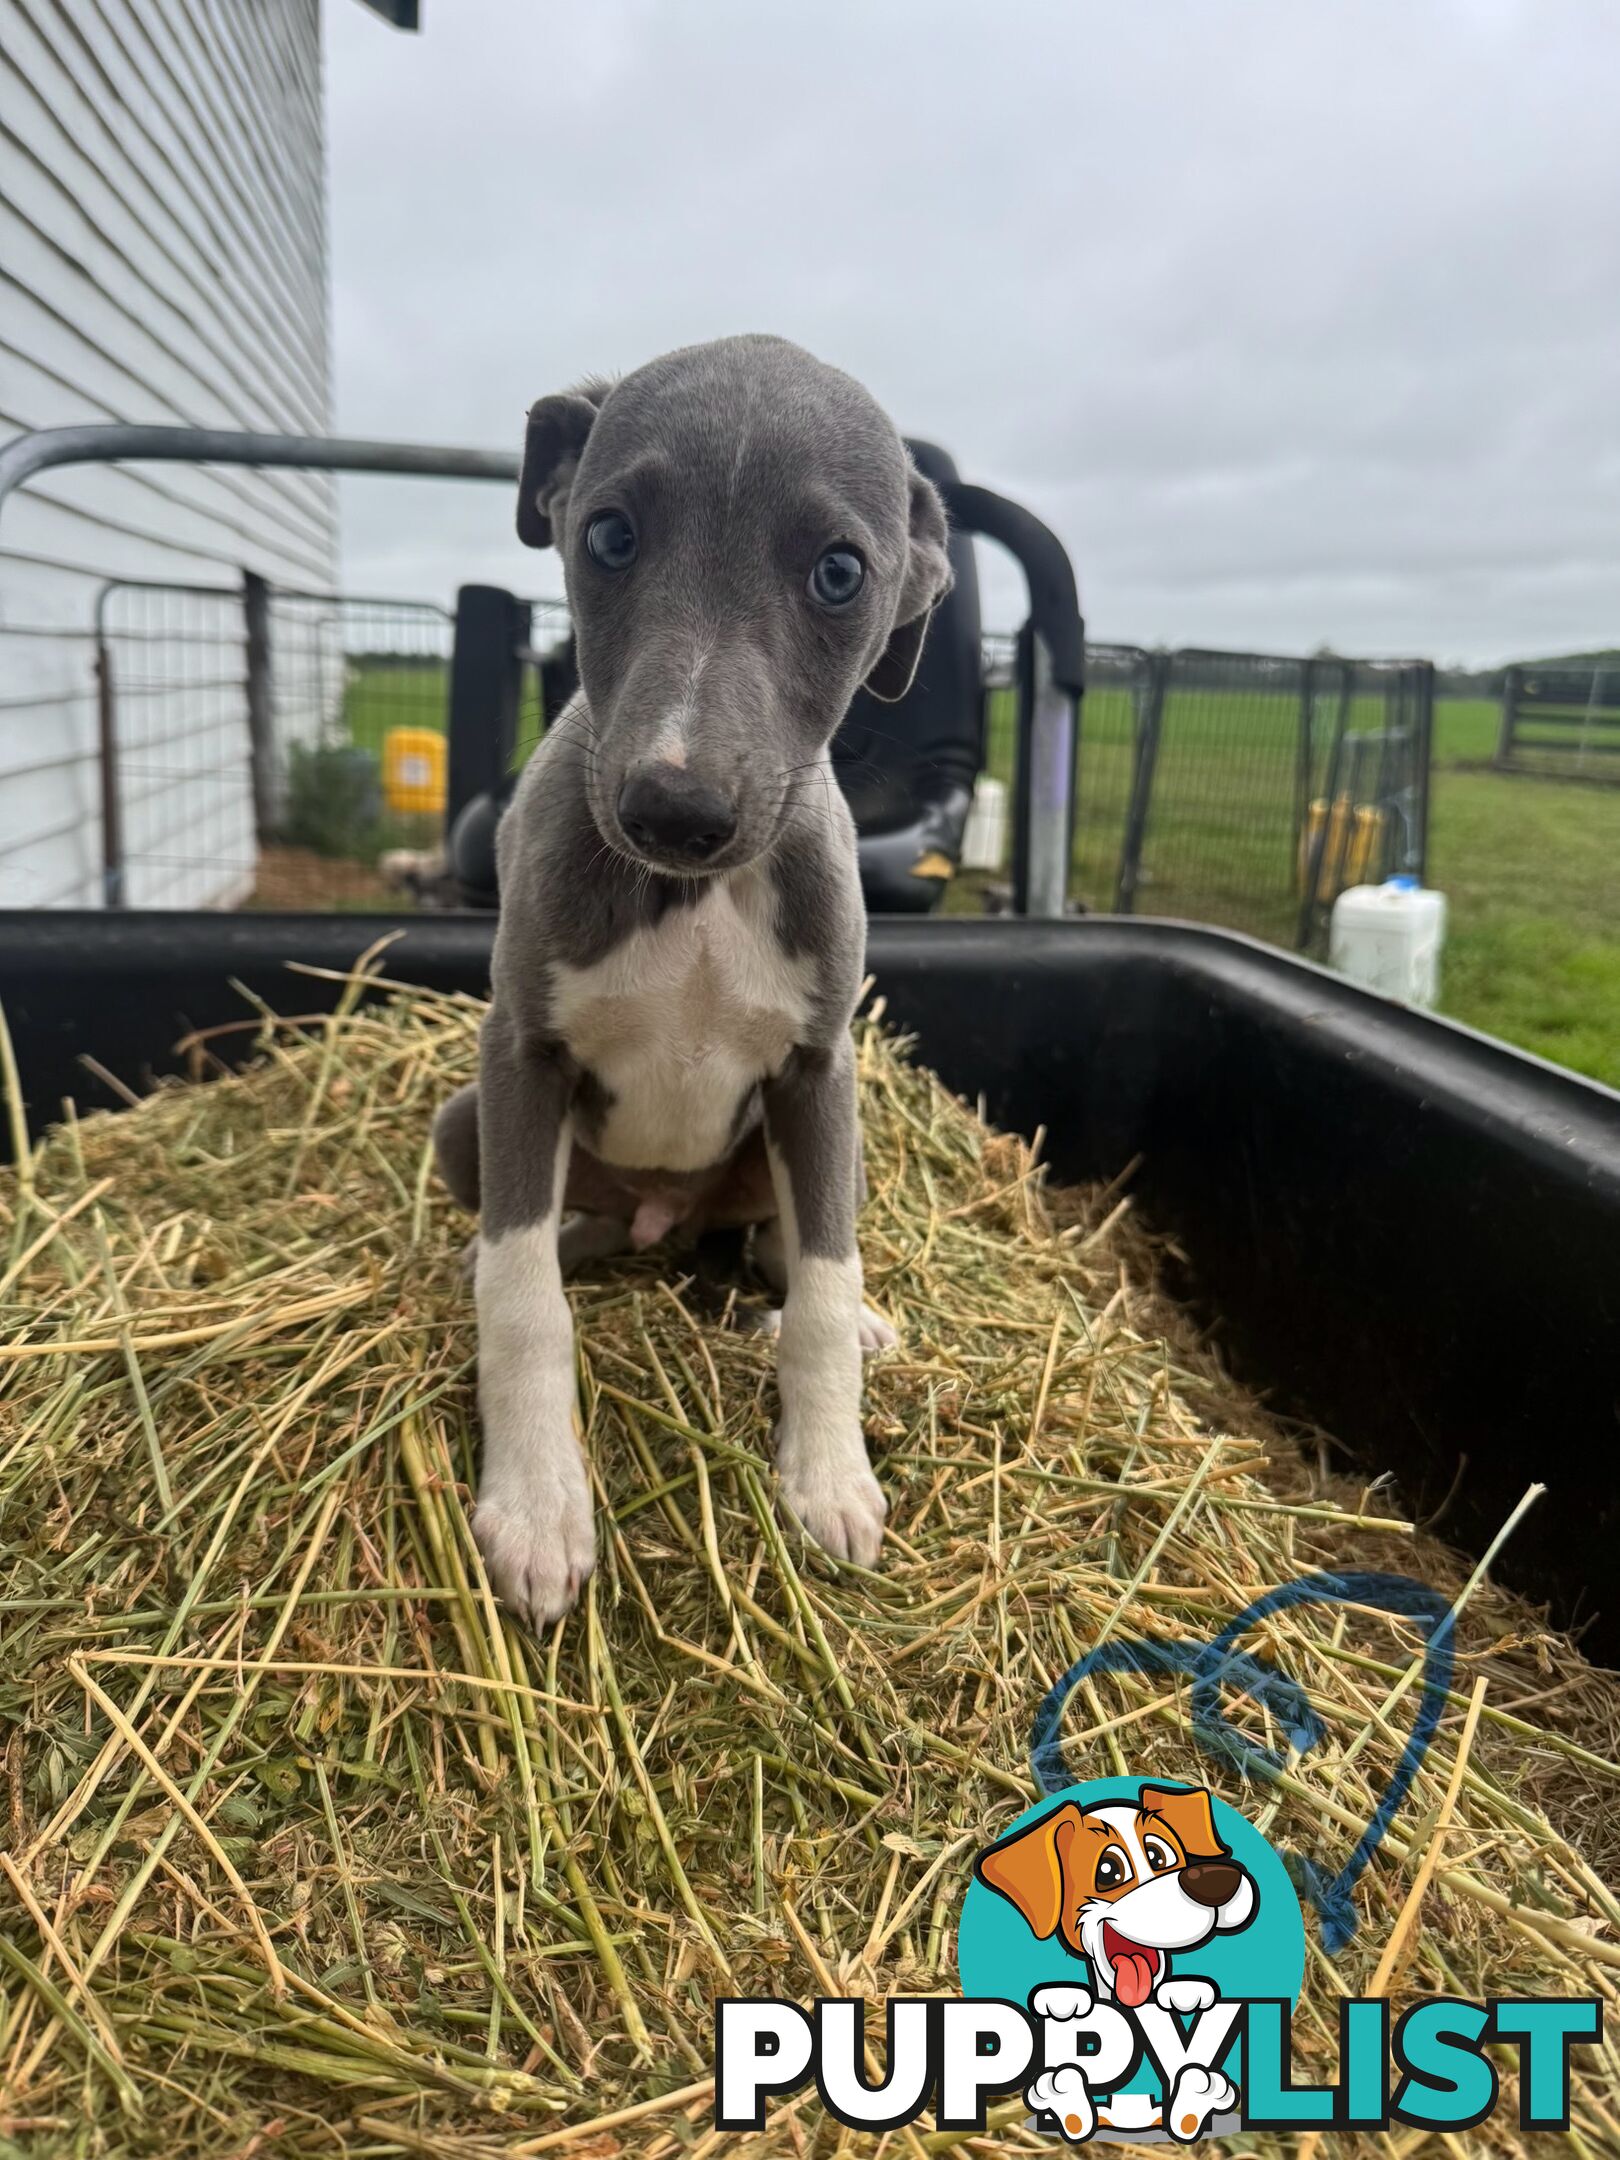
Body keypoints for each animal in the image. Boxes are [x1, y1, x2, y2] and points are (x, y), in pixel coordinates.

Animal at [438, 332, 959, 1624]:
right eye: (610, 536)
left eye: (840, 572)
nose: (674, 811)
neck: (694, 901)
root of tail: (663, 1219)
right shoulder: (520, 1057)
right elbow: (522, 1297)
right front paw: (537, 1504)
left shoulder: (820, 1072)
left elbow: (819, 1283)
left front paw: (829, 1473)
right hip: (463, 1121)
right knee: (549, 1241)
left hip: (818, 1149)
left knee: (789, 1243)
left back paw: (863, 1320)